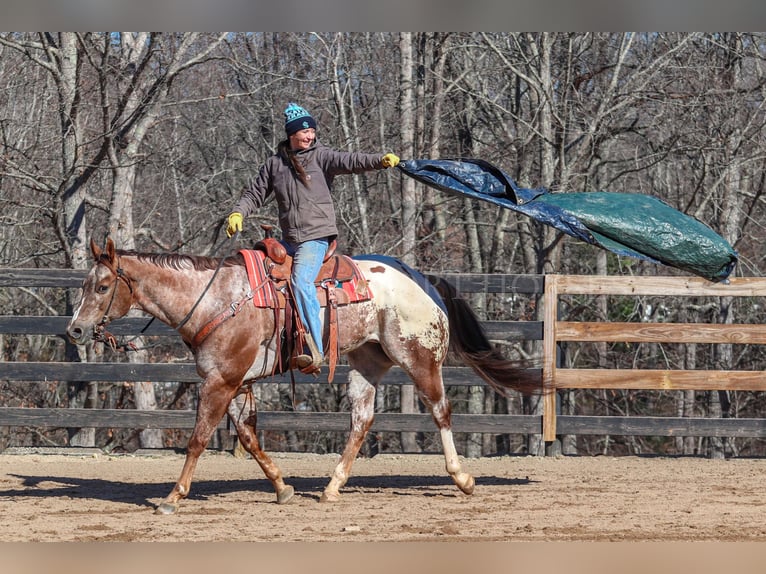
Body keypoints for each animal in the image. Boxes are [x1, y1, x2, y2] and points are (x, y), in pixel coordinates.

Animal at [64, 236, 540, 516]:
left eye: (102, 287)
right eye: (85, 285)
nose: (76, 330)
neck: (214, 299)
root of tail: (422, 280)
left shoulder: (220, 381)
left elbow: (198, 439)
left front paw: (172, 497)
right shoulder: (238, 382)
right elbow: (249, 438)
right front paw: (282, 487)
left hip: (420, 358)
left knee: (440, 410)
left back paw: (462, 478)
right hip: (366, 363)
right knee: (362, 420)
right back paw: (331, 487)